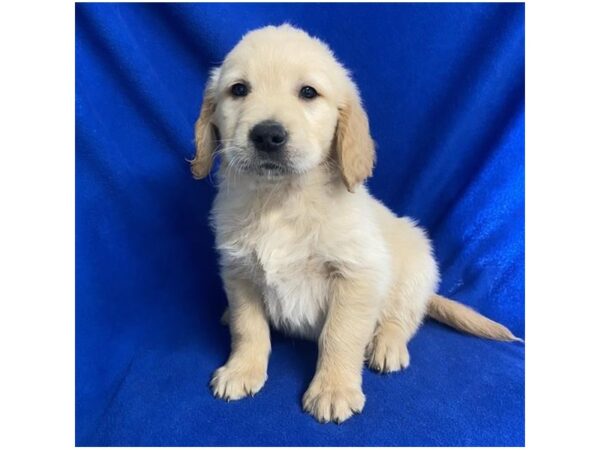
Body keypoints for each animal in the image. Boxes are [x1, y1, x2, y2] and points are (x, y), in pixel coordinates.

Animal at [192, 24, 520, 424]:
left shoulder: (357, 275)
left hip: (416, 266)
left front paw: (333, 389)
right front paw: (242, 369)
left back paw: (387, 345)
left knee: (405, 319)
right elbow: (248, 326)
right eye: (238, 89)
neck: (281, 200)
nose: (268, 135)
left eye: (308, 93)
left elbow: (340, 334)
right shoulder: (238, 272)